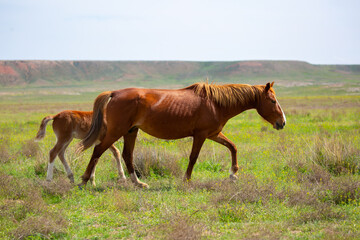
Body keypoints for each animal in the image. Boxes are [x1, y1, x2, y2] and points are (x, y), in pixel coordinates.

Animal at [78, 81, 286, 188]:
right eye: (273, 101)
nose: (282, 122)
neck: (216, 103)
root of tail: (114, 92)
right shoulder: (201, 135)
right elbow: (193, 157)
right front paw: (186, 180)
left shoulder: (214, 134)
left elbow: (233, 147)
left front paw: (233, 174)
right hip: (116, 131)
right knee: (98, 151)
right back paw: (84, 181)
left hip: (130, 131)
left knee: (127, 155)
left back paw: (139, 183)